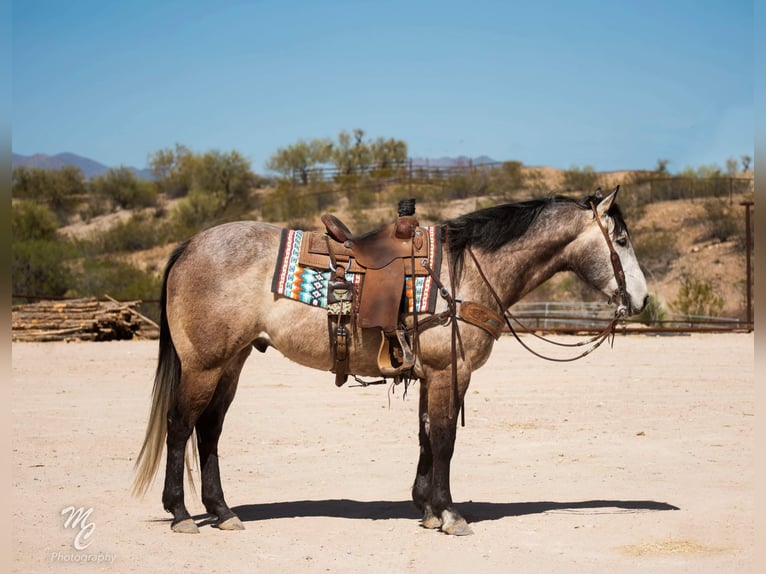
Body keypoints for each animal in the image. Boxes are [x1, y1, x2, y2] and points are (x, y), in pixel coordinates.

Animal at [132, 187, 648, 536]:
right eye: (621, 240)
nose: (641, 299)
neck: (467, 269)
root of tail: (189, 246)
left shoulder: (430, 375)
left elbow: (425, 435)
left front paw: (426, 509)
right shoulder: (449, 372)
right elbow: (444, 440)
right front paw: (450, 513)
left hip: (232, 362)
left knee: (209, 430)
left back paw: (222, 512)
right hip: (205, 365)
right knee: (181, 426)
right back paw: (181, 513)